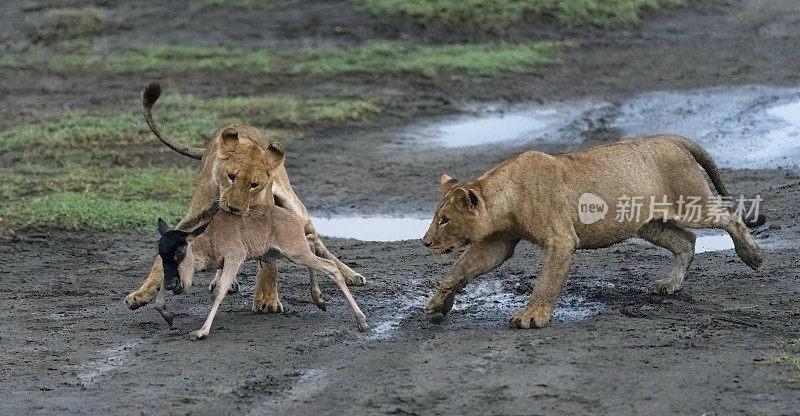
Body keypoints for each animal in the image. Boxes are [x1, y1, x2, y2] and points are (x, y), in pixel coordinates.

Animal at [158, 203, 370, 340]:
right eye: (161, 254)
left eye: (180, 252)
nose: (172, 284)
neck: (207, 236)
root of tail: (295, 219)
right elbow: (159, 291)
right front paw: (168, 316)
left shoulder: (234, 258)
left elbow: (219, 291)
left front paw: (202, 331)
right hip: (286, 251)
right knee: (311, 243)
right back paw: (319, 299)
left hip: (293, 252)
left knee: (331, 267)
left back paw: (361, 320)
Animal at [422, 135, 764, 330]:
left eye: (445, 220)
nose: (425, 242)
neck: (504, 198)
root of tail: (674, 140)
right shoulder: (497, 241)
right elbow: (460, 269)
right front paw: (438, 305)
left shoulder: (560, 239)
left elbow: (546, 281)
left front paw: (532, 317)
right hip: (647, 222)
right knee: (685, 241)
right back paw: (669, 285)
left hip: (690, 202)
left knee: (729, 217)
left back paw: (752, 256)